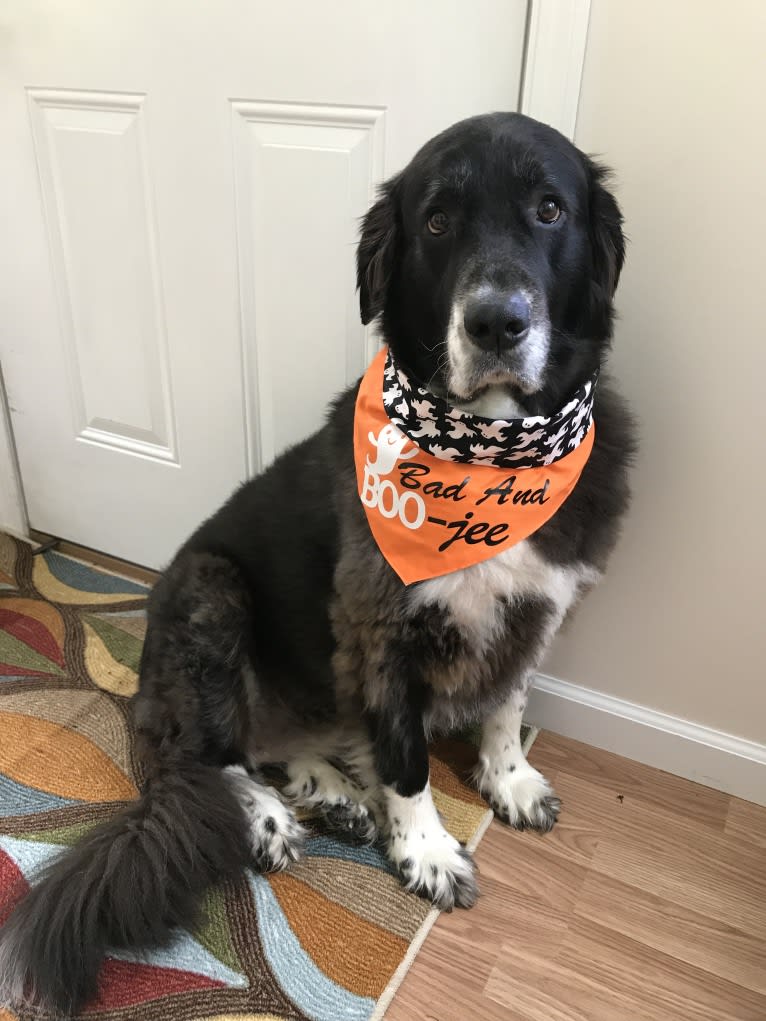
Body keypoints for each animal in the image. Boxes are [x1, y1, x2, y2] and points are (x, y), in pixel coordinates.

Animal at [0, 111, 637, 1012]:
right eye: (437, 221)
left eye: (551, 209)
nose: (496, 323)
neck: (489, 454)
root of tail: (144, 690)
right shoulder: (380, 630)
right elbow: (406, 756)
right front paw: (426, 848)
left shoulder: (540, 604)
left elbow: (508, 700)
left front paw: (508, 777)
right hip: (210, 591)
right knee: (210, 753)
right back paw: (269, 814)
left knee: (283, 735)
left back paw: (332, 787)